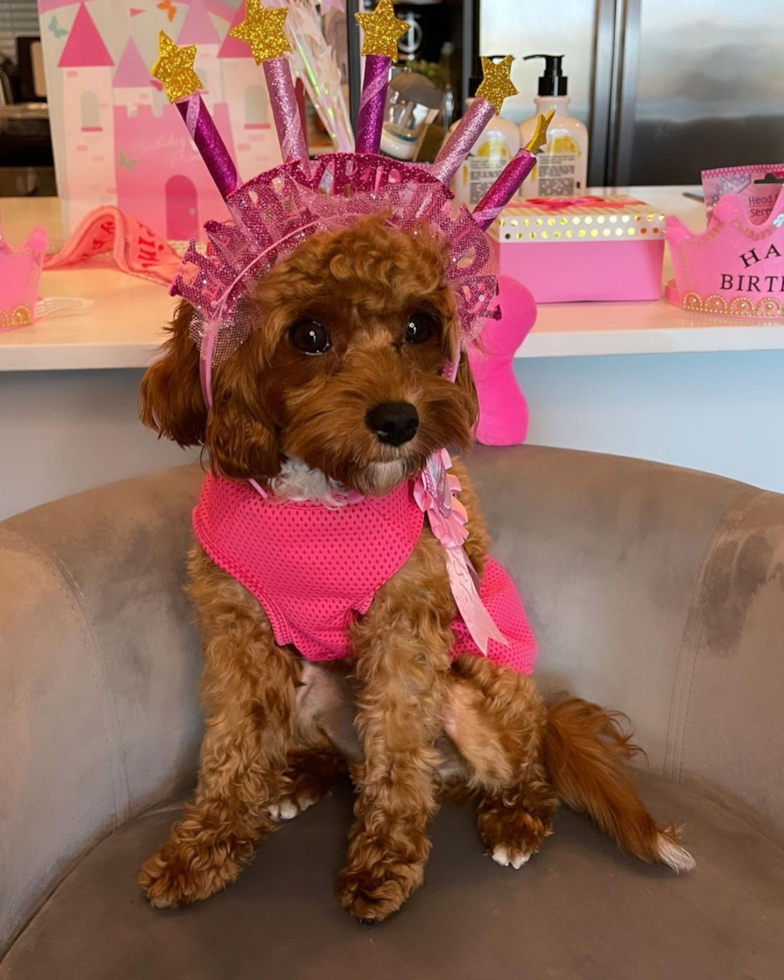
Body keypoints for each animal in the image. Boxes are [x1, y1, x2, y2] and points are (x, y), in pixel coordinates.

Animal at [138, 212, 696, 920]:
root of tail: (546, 717)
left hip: (481, 702)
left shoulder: (402, 634)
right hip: (311, 682)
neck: (321, 496)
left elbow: (397, 755)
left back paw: (514, 821)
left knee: (517, 774)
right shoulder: (240, 632)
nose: (399, 420)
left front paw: (384, 863)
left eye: (417, 327)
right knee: (346, 762)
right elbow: (231, 747)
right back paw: (299, 778)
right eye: (309, 335)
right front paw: (203, 849)